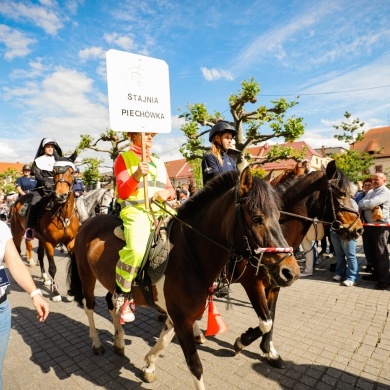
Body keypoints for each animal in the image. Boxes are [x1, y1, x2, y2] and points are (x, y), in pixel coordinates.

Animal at [10, 158, 79, 302]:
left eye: (71, 172)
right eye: (54, 171)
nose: (61, 195)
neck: (63, 215)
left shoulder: (70, 241)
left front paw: (72, 292)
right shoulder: (49, 243)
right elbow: (52, 267)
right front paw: (56, 293)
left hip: (40, 239)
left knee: (40, 255)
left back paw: (45, 278)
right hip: (18, 233)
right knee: (18, 251)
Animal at [68, 168, 298, 390]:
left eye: (279, 215)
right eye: (257, 218)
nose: (291, 272)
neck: (188, 255)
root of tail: (89, 222)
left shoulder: (177, 315)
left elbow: (164, 340)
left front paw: (149, 365)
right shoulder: (182, 317)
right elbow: (195, 366)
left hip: (111, 282)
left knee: (112, 303)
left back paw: (119, 341)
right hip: (87, 276)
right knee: (89, 306)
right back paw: (97, 343)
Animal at [227, 160, 364, 368]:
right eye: (341, 193)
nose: (358, 229)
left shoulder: (275, 285)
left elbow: (271, 317)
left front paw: (269, 351)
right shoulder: (253, 284)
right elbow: (265, 322)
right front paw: (243, 340)